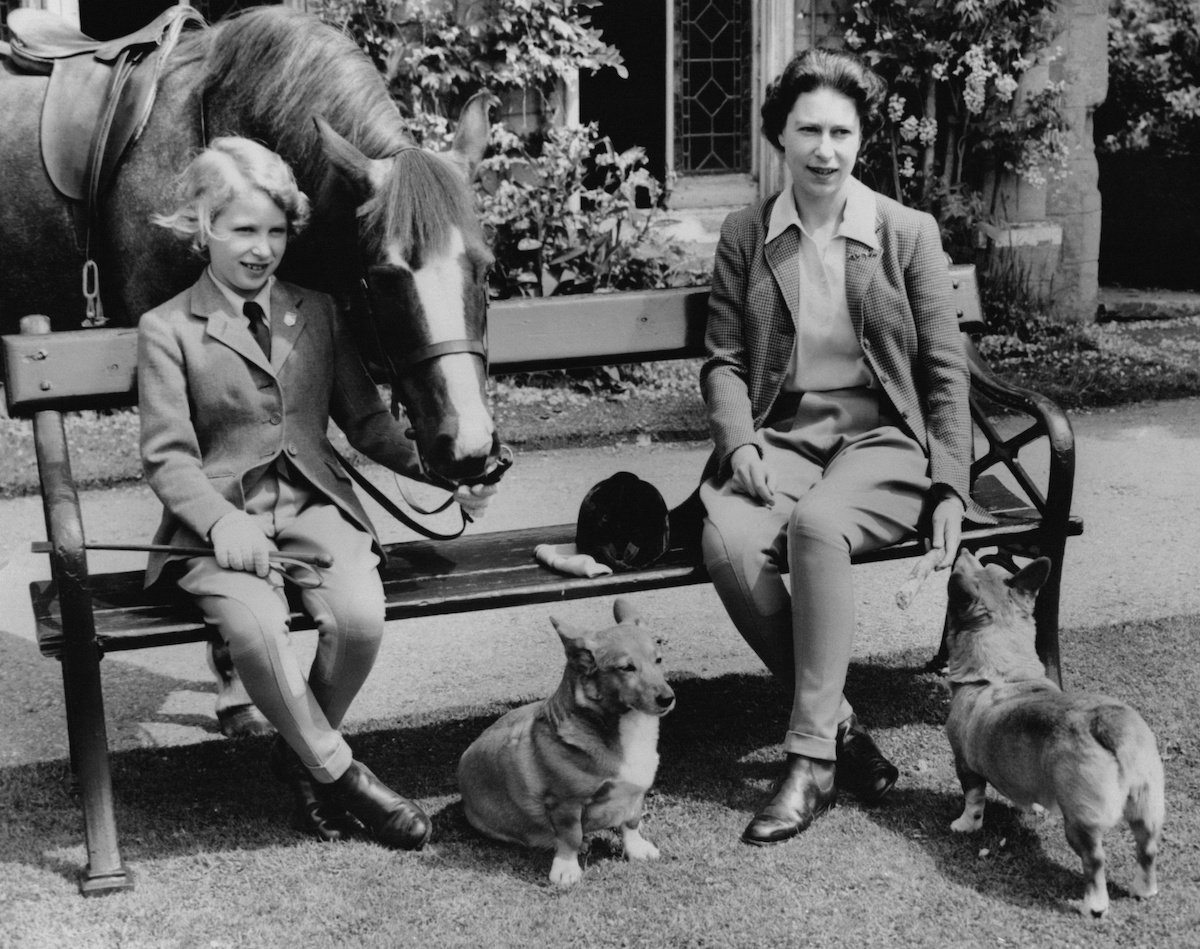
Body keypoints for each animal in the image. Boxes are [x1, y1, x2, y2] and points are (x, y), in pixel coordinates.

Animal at [453, 602, 676, 892]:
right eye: (626, 667)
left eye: (658, 660)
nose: (668, 698)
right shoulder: (565, 803)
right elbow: (570, 836)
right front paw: (566, 870)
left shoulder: (636, 793)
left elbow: (631, 821)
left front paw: (637, 849)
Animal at [945, 549, 1161, 921]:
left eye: (964, 572)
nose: (963, 549)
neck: (1002, 673)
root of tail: (1110, 726)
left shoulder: (965, 765)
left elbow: (973, 801)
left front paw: (964, 825)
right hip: (1146, 807)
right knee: (1146, 849)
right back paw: (1143, 890)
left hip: (1080, 823)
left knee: (1094, 861)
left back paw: (1094, 905)